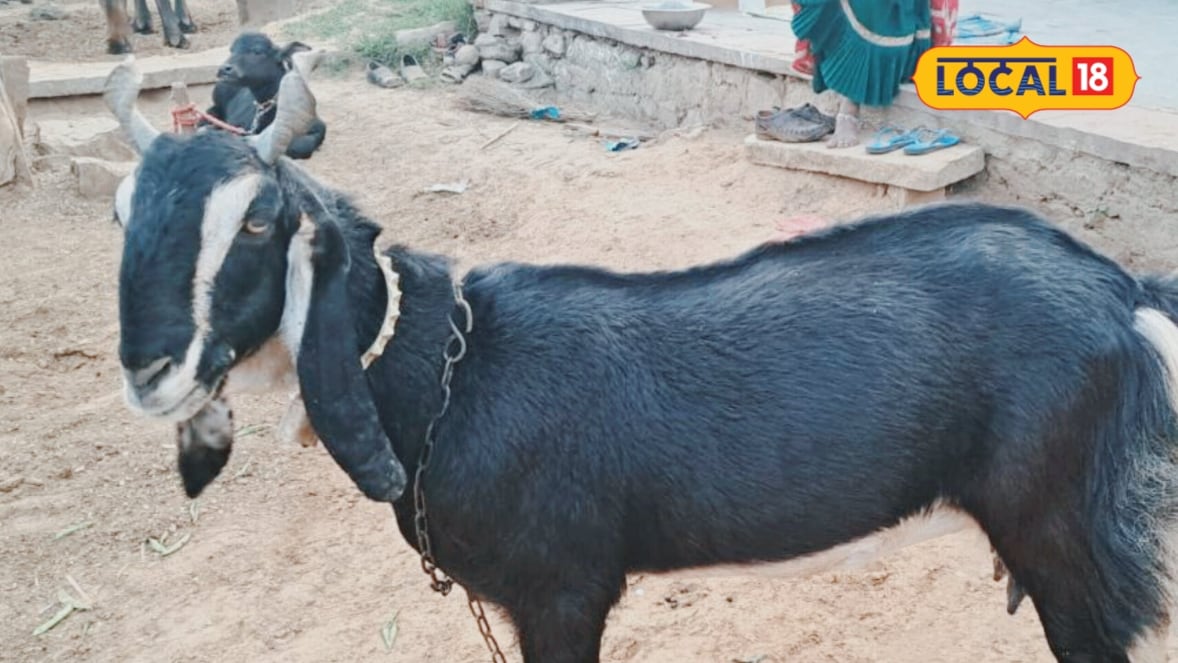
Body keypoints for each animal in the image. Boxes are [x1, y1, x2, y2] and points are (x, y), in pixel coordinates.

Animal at [105, 57, 1178, 663]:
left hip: (1065, 530)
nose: (148, 372)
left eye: (257, 219)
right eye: (121, 212)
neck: (449, 370)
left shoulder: (562, 587)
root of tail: (1121, 291)